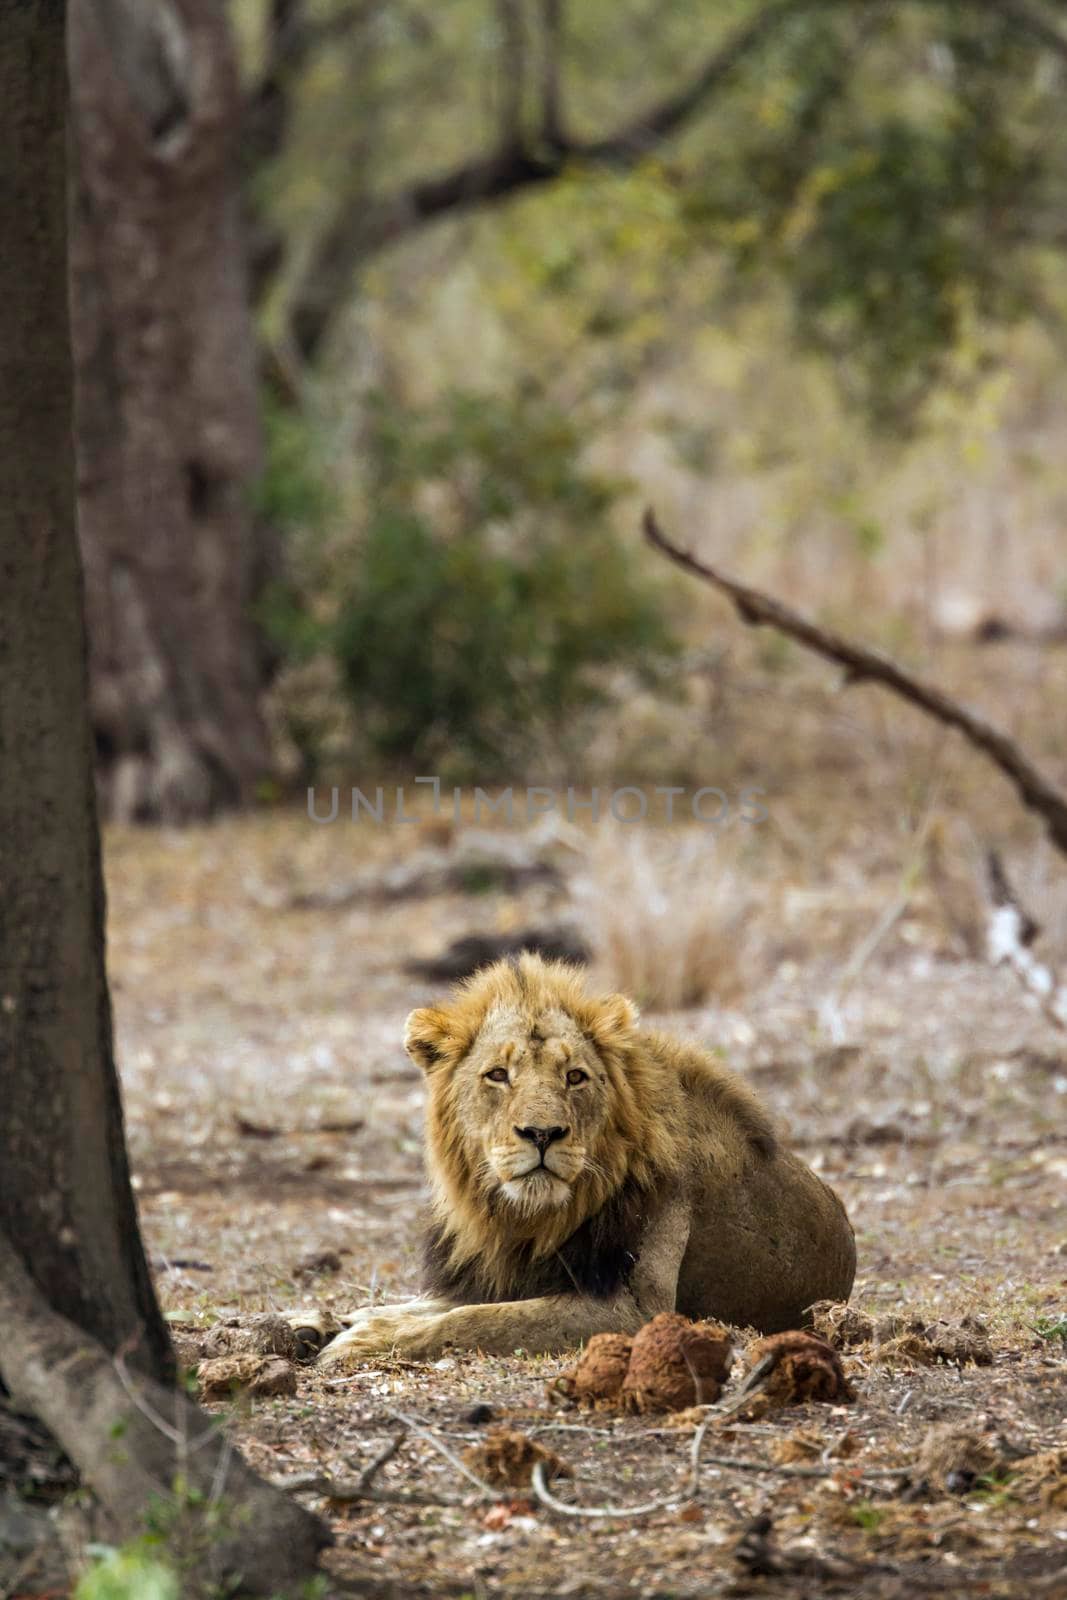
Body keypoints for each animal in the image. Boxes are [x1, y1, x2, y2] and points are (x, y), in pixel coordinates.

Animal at [294, 953, 857, 1369]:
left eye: (575, 1077)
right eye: (497, 1075)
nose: (542, 1133)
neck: (529, 1220)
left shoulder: (635, 1312)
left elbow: (475, 1320)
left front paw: (359, 1340)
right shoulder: (508, 1273)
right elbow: (428, 1304)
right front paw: (322, 1321)